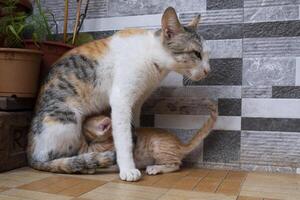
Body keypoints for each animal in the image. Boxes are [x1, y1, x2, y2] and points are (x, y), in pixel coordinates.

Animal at [27, 6, 211, 181]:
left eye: (207, 55)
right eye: (196, 54)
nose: (208, 70)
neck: (151, 57)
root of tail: (30, 155)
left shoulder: (137, 103)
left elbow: (133, 128)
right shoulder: (121, 100)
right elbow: (124, 139)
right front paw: (128, 169)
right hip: (67, 120)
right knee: (58, 159)